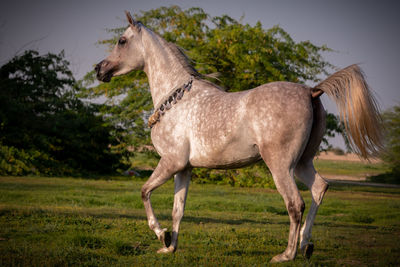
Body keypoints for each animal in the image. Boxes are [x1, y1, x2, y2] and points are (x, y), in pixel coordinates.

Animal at [95, 11, 382, 262]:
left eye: (122, 40)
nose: (99, 69)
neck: (177, 99)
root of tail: (310, 91)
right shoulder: (184, 168)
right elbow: (178, 210)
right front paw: (169, 246)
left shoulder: (170, 162)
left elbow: (144, 192)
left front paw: (160, 234)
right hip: (302, 163)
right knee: (319, 188)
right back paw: (305, 246)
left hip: (280, 166)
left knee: (295, 202)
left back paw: (286, 255)